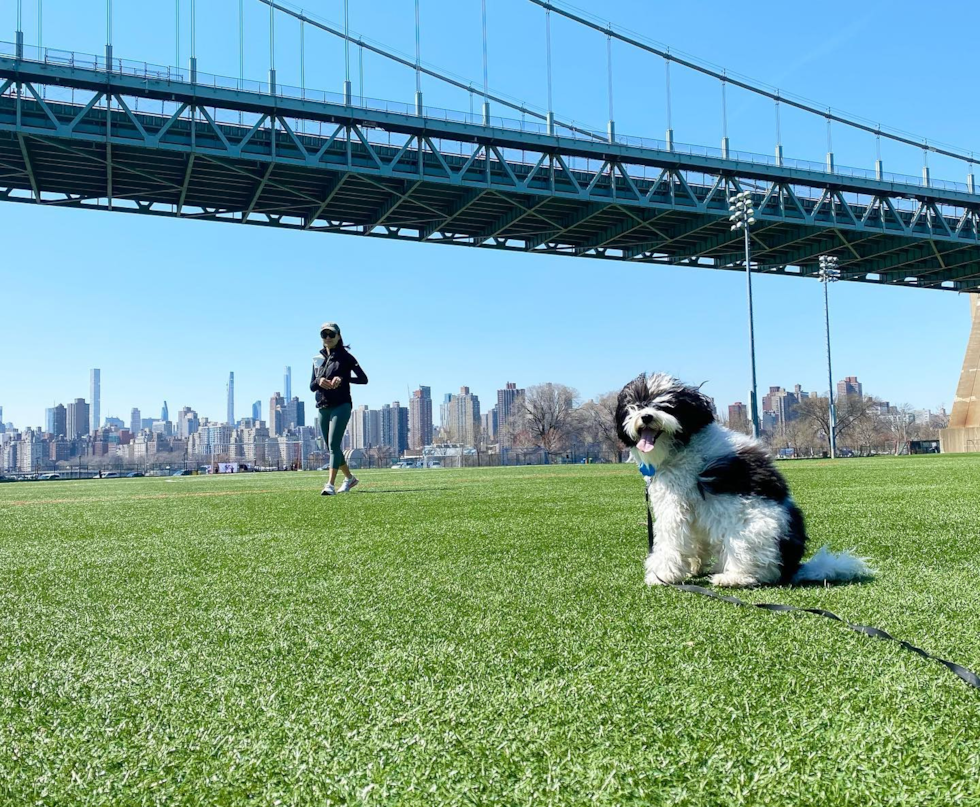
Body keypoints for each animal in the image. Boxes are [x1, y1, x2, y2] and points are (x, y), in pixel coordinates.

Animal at [616, 372, 868, 588]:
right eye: (636, 405)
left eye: (666, 405)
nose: (646, 416)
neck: (683, 445)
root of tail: (791, 566)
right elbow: (694, 543)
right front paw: (692, 568)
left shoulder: (674, 504)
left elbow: (670, 540)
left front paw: (661, 574)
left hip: (747, 532)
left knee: (760, 572)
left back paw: (732, 578)